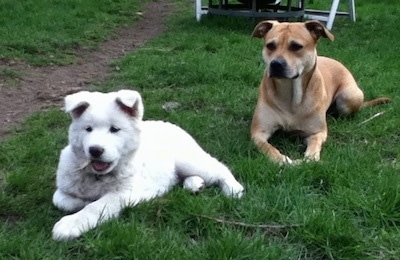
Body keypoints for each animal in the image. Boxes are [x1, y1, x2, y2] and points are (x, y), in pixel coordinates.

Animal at [51, 90, 245, 241]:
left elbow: (96, 206)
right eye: (88, 129)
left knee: (220, 168)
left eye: (114, 129)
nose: (95, 150)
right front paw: (81, 203)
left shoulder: (123, 193)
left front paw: (70, 224)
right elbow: (60, 200)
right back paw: (194, 184)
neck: (99, 176)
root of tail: (170, 124)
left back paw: (233, 189)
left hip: (189, 160)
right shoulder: (63, 188)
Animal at [252, 19, 390, 165]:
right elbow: (268, 147)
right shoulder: (258, 133)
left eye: (296, 46)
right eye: (270, 45)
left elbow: (314, 144)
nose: (276, 64)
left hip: (349, 97)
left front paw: (310, 158)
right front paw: (282, 159)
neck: (290, 94)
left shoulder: (317, 133)